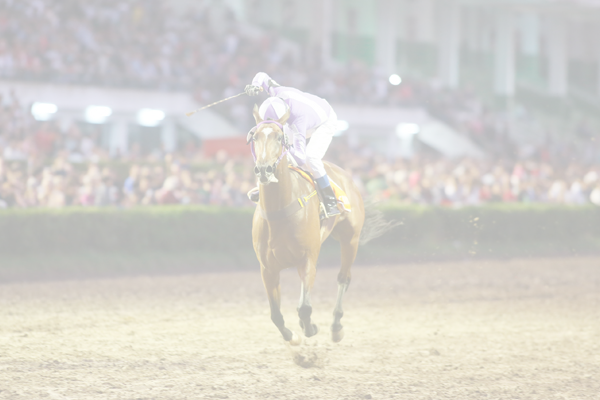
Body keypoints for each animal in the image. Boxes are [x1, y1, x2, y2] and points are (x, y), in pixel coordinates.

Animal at [248, 104, 394, 346]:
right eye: (254, 136)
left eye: (279, 137)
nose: (264, 169)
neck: (279, 211)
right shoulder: (267, 268)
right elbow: (276, 314)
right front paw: (293, 337)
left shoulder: (308, 258)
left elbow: (305, 307)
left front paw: (310, 328)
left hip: (350, 240)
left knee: (343, 278)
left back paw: (336, 326)